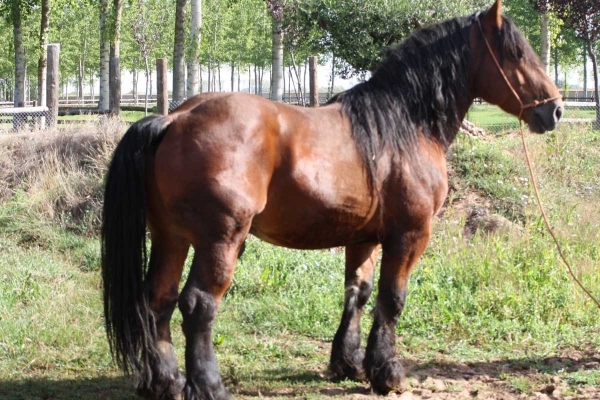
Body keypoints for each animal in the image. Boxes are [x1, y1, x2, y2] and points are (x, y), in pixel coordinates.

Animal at [102, 1, 564, 398]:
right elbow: (392, 299)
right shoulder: (410, 234)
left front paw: (349, 363)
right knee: (198, 305)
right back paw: (210, 386)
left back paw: (166, 382)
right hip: (221, 240)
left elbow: (357, 293)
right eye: (515, 53)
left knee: (158, 301)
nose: (556, 110)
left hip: (171, 237)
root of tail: (175, 118)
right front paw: (387, 373)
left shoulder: (364, 237)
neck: (404, 126)